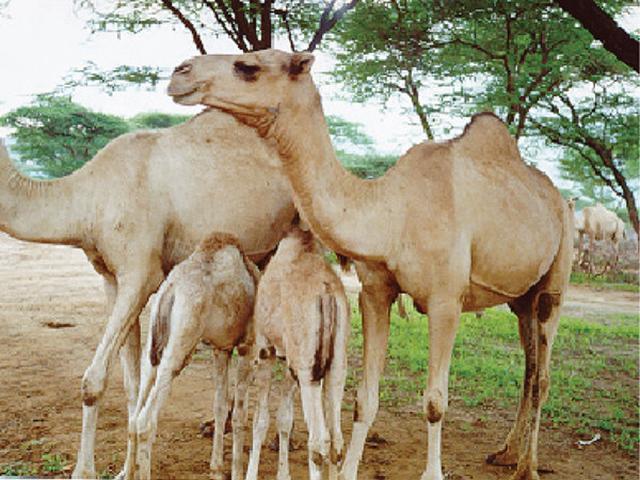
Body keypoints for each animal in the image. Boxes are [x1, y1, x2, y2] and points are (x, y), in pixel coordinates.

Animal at [125, 233, 258, 480]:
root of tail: (171, 289)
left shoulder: (221, 349)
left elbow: (220, 405)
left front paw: (216, 469)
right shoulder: (248, 347)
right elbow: (239, 415)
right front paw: (236, 472)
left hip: (155, 347)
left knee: (134, 415)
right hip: (181, 343)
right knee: (145, 422)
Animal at [248, 225, 349, 480]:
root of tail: (327, 295)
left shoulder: (265, 348)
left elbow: (260, 419)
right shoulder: (289, 361)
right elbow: (284, 418)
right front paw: (283, 474)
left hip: (307, 370)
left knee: (318, 442)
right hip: (335, 367)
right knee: (336, 442)